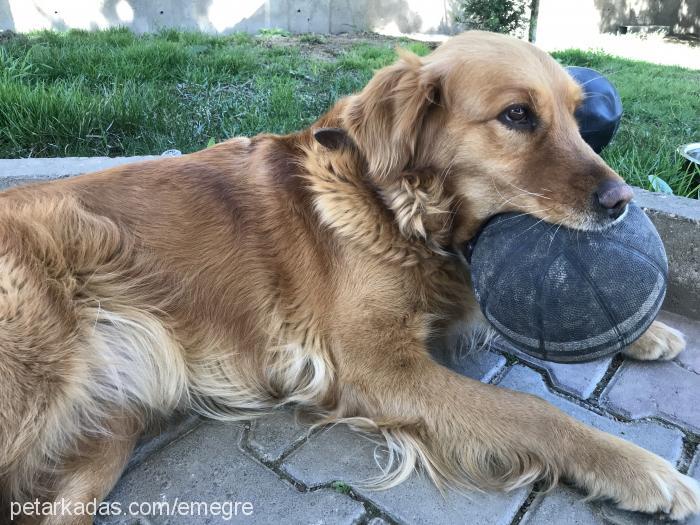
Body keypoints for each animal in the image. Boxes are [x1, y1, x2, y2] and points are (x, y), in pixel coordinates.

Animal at [0, 30, 696, 520]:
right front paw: (643, 470)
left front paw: (648, 332)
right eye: (518, 116)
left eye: (580, 117)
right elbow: (533, 411)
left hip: (106, 432)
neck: (396, 208)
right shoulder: (377, 366)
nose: (621, 201)